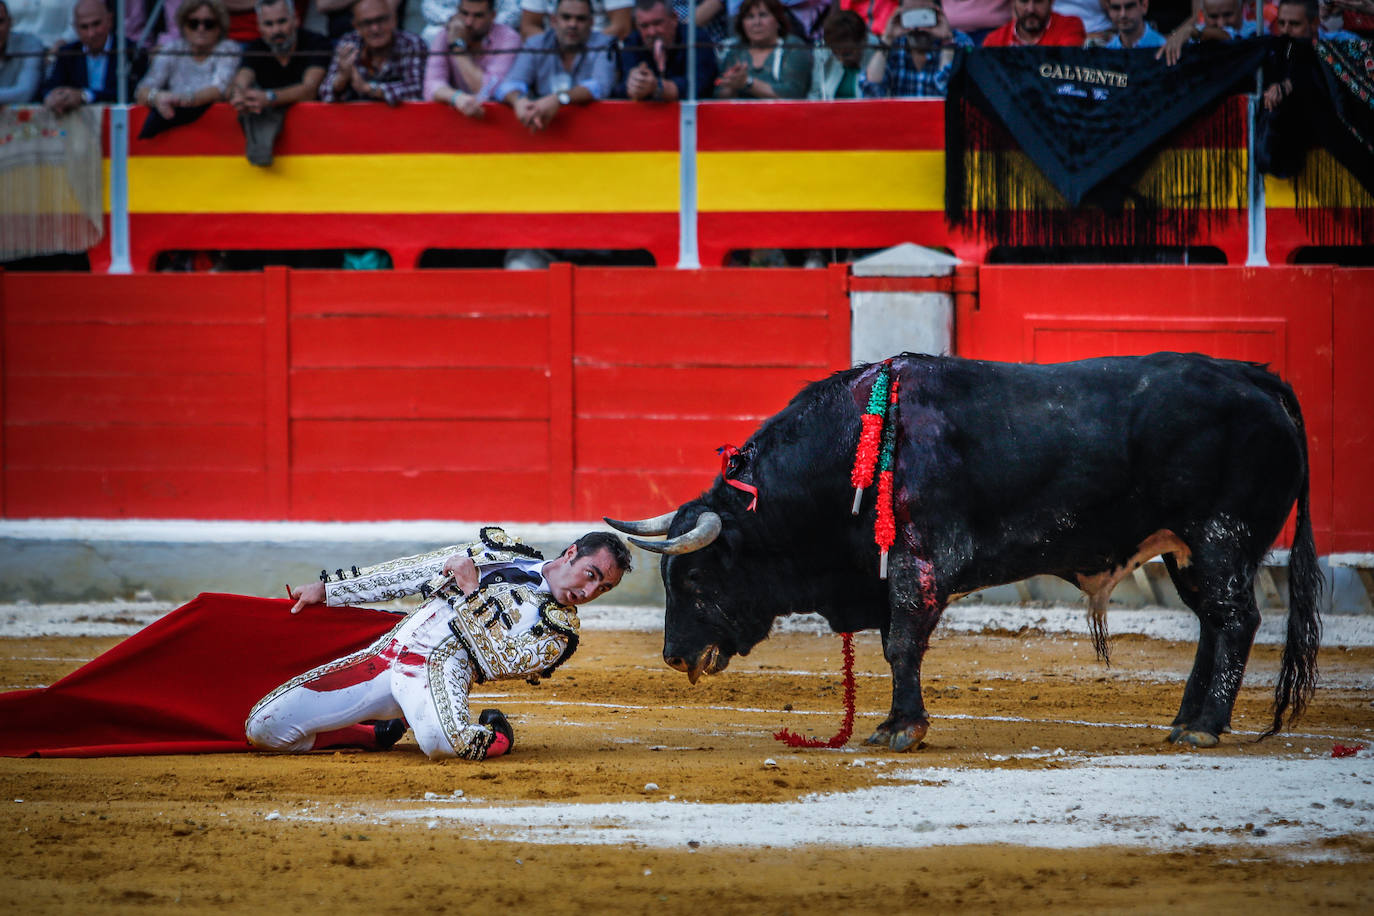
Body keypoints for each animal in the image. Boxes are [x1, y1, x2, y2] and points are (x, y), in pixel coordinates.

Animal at [610, 354, 1319, 752]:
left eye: (694, 580)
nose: (673, 656)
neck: (850, 449)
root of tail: (1256, 379)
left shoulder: (917, 563)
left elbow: (901, 642)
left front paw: (899, 729)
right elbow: (897, 642)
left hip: (1221, 538)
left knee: (1235, 621)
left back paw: (1204, 726)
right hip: (1187, 551)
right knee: (1212, 625)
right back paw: (1187, 721)